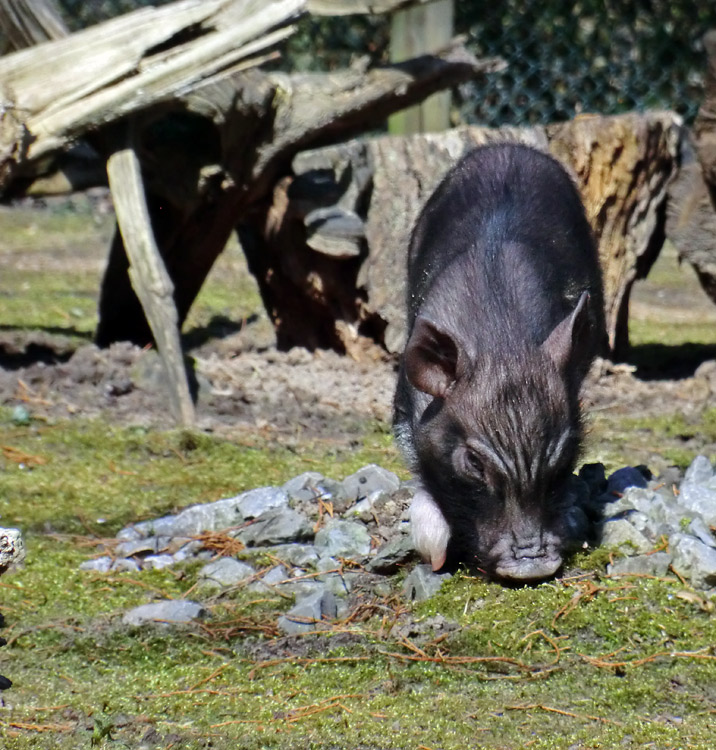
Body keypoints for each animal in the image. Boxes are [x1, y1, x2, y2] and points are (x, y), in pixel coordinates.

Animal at [394, 144, 608, 584]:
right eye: (473, 462)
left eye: (563, 454)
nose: (531, 567)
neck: (500, 340)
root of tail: (508, 147)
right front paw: (435, 556)